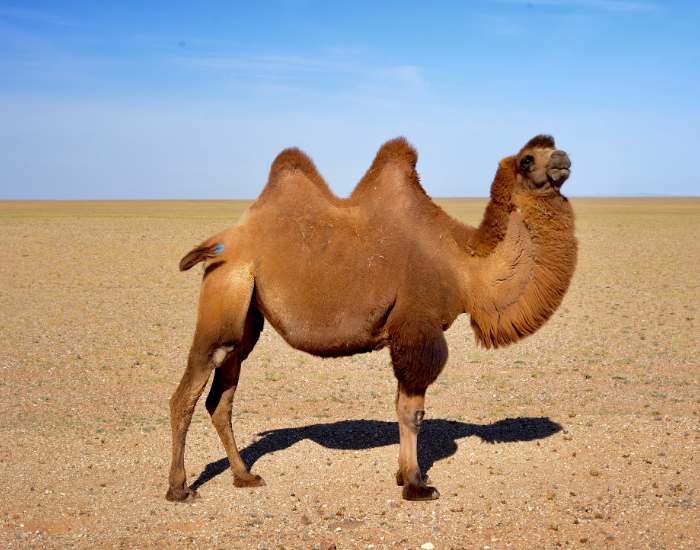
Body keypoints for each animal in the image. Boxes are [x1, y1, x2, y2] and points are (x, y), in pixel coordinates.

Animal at [166, 134, 577, 502]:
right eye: (527, 158)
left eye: (552, 146)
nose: (563, 159)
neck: (462, 266)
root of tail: (218, 243)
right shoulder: (418, 328)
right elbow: (412, 412)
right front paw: (416, 485)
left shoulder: (405, 335)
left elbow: (401, 407)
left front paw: (404, 474)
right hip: (224, 293)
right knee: (188, 393)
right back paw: (179, 488)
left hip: (247, 315)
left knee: (221, 397)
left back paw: (244, 476)